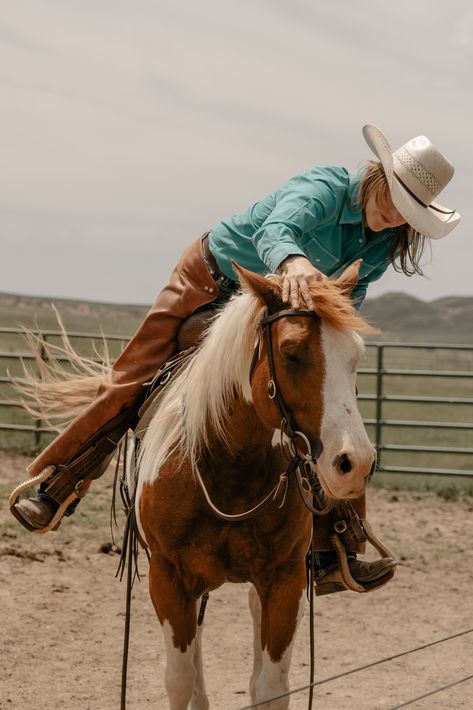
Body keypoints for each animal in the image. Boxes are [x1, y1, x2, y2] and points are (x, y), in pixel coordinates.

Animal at [131, 264, 374, 708]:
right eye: (291, 352)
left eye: (356, 356)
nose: (355, 463)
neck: (229, 471)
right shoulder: (168, 579)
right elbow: (179, 680)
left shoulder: (285, 581)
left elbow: (271, 687)